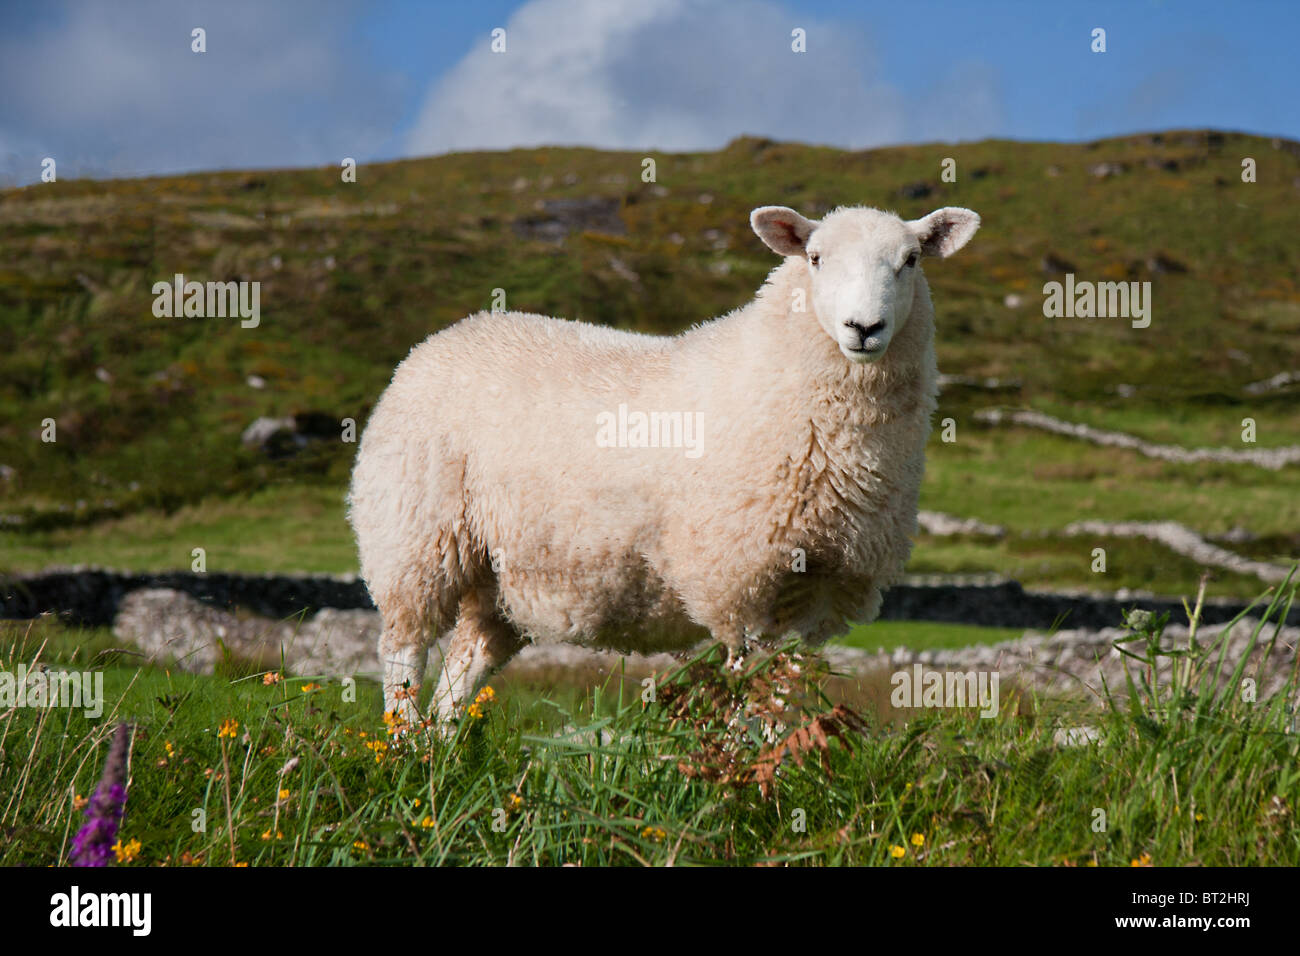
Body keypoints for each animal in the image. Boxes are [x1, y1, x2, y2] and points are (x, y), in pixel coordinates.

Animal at [351, 204, 977, 723]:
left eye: (911, 260)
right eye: (816, 258)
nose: (863, 328)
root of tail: (441, 339)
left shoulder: (822, 588)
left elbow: (780, 694)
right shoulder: (739, 579)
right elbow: (746, 692)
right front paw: (736, 773)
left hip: (499, 574)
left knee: (465, 662)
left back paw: (441, 751)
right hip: (416, 536)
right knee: (403, 652)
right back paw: (403, 749)